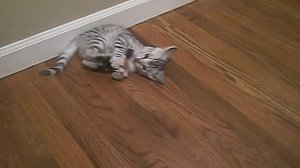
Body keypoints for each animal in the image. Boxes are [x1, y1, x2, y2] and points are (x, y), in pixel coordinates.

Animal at [42, 24, 178, 82]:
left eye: (145, 67)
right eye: (147, 55)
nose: (139, 60)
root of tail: (77, 38)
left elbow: (121, 71)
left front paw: (119, 73)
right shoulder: (123, 38)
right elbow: (120, 49)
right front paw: (118, 60)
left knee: (86, 60)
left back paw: (101, 63)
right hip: (99, 39)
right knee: (89, 53)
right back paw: (106, 58)